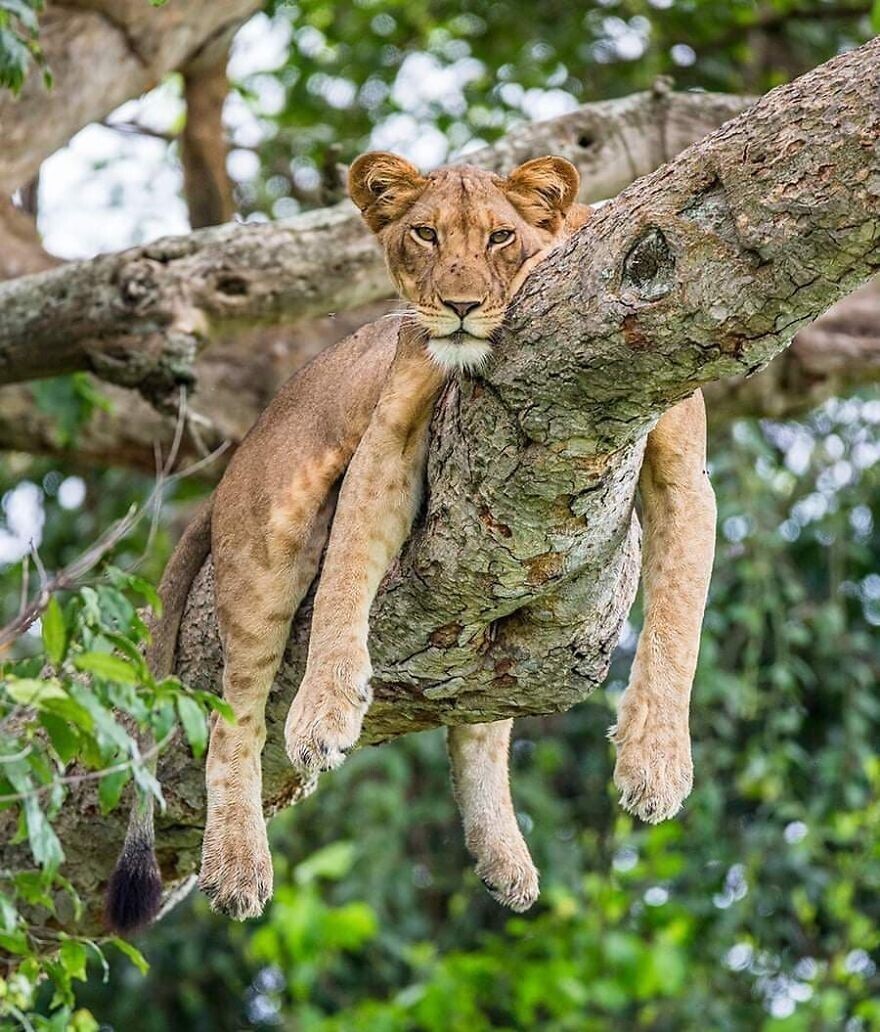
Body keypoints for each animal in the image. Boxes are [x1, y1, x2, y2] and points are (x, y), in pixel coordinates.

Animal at [108, 152, 713, 937]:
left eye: (499, 238)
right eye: (425, 234)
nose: (457, 306)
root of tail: (233, 467)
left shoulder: (683, 473)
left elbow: (679, 625)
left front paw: (656, 764)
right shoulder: (390, 431)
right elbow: (343, 575)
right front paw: (324, 712)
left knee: (483, 723)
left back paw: (503, 857)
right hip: (266, 543)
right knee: (230, 724)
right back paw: (237, 866)